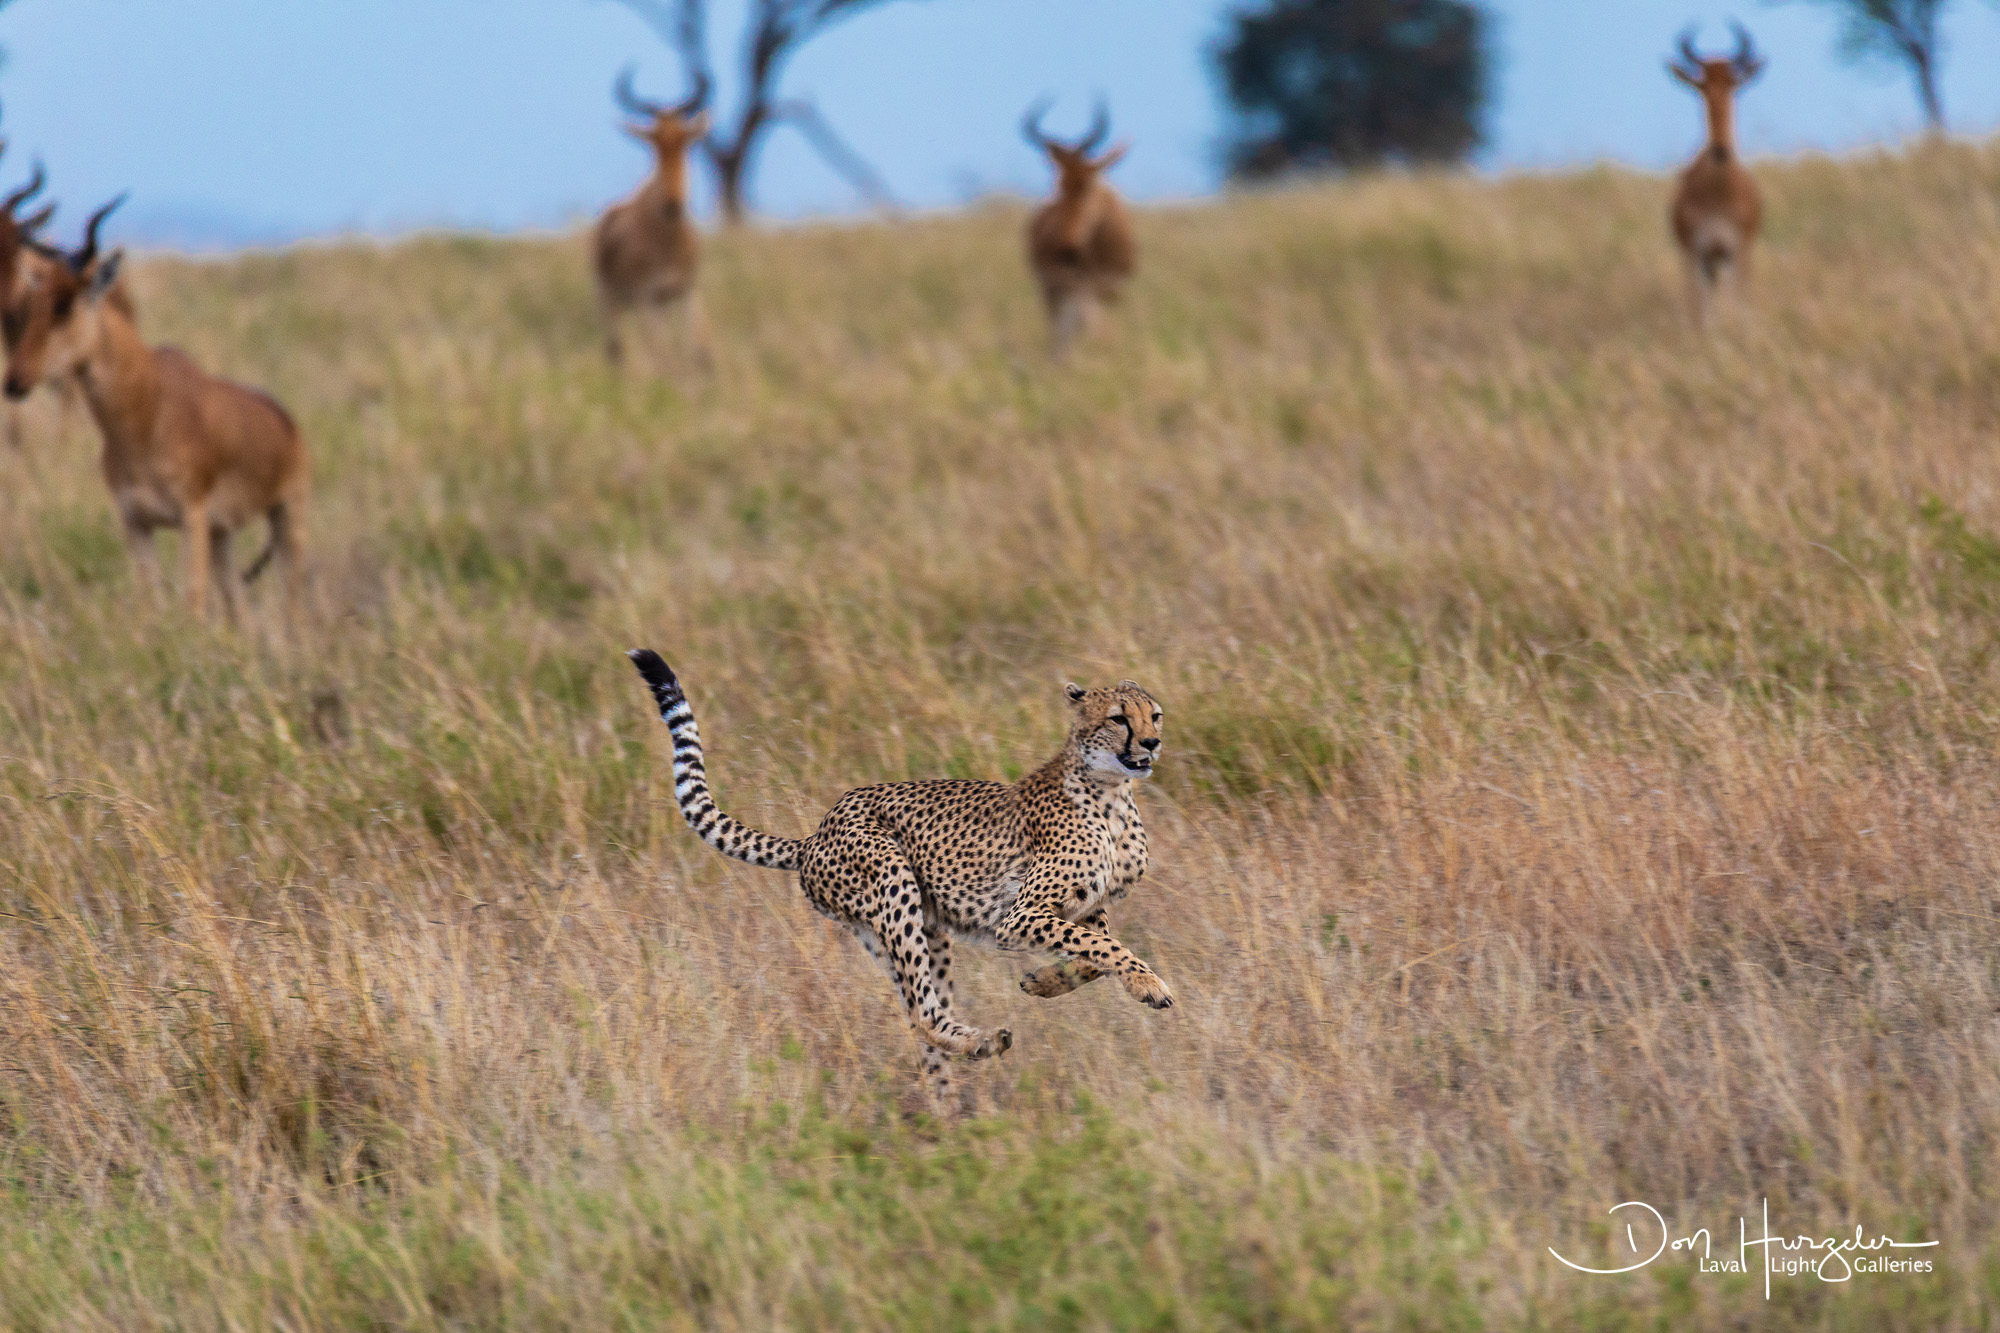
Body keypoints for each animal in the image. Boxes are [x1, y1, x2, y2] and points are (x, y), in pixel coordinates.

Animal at [7, 195, 308, 620]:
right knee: (238, 608)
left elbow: (192, 602)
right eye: (35, 305)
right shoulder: (137, 523)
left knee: (293, 608)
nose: (15, 382)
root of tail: (287, 422)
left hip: (287, 517)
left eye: (67, 306)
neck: (149, 408)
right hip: (223, 535)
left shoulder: (191, 519)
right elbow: (150, 602)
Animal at [592, 65, 712, 366]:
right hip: (610, 299)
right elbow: (665, 356)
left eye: (685, 140)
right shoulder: (647, 299)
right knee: (616, 349)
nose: (673, 205)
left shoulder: (686, 291)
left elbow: (695, 353)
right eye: (653, 141)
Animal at [628, 652, 1168, 1096]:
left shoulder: (1086, 908)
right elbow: (1103, 948)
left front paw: (1044, 982)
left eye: (1154, 714)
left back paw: (953, 1097)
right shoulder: (1019, 916)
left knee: (918, 1013)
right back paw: (979, 1051)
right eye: (1119, 718)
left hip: (917, 932)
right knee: (923, 1014)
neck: (1112, 793)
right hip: (892, 880)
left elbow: (1094, 952)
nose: (1152, 742)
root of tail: (813, 835)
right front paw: (1149, 985)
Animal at [1024, 98, 1136, 356]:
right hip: (1052, 291)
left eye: (1087, 184)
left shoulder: (1114, 291)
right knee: (1062, 330)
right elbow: (1087, 325)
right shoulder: (1081, 289)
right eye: (1059, 184)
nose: (1067, 249)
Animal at [1672, 23, 1768, 326]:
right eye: (1701, 84)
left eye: (1734, 82)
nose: (1720, 151)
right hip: (1705, 262)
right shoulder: (1696, 253)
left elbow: (1742, 308)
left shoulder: (1738, 251)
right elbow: (1700, 314)